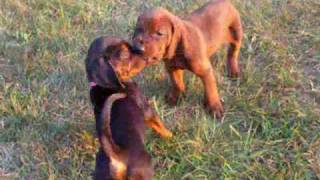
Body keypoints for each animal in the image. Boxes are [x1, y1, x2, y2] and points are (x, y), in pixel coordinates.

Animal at [85, 36, 172, 179]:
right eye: (125, 54)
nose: (144, 53)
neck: (104, 85)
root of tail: (116, 155)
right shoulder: (148, 111)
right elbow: (161, 126)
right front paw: (171, 136)